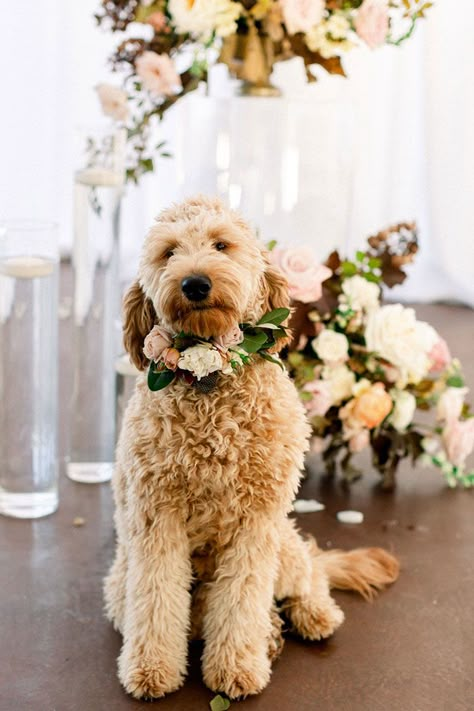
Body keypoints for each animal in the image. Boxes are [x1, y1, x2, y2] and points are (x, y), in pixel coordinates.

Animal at [104, 195, 400, 700]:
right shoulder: (155, 519)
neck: (208, 379)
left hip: (284, 543)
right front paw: (152, 669)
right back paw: (270, 636)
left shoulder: (255, 523)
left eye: (221, 245)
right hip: (120, 579)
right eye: (168, 252)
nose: (195, 282)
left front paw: (236, 668)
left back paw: (312, 615)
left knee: (309, 573)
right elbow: (156, 598)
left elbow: (242, 599)